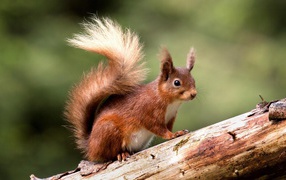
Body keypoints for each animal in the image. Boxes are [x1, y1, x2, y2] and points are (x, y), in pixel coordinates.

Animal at [66, 17, 198, 162]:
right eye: (176, 82)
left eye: (194, 81)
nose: (194, 94)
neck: (170, 102)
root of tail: (90, 147)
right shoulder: (148, 111)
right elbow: (158, 128)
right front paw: (173, 134)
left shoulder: (170, 117)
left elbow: (168, 126)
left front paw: (178, 131)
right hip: (109, 130)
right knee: (109, 154)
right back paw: (121, 153)